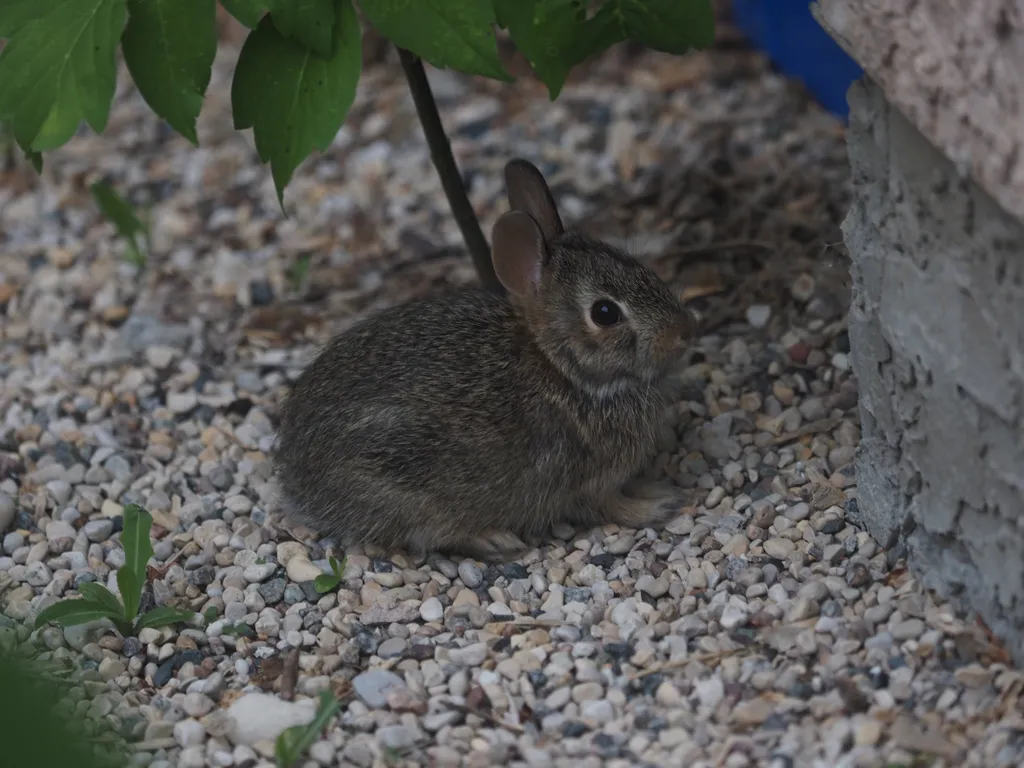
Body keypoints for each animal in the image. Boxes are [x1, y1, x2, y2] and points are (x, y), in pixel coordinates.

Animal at [274, 159, 696, 561]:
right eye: (605, 313)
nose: (683, 331)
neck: (564, 370)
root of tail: (296, 478)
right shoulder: (591, 483)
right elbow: (611, 507)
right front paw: (658, 506)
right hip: (408, 490)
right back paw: (495, 540)